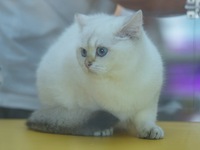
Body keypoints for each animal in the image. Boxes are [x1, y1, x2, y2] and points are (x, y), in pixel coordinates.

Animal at [26, 10, 164, 139]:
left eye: (101, 51)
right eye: (83, 52)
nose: (87, 64)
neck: (119, 77)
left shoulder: (148, 104)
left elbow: (145, 120)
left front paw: (150, 130)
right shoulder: (87, 103)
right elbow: (95, 115)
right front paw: (103, 130)